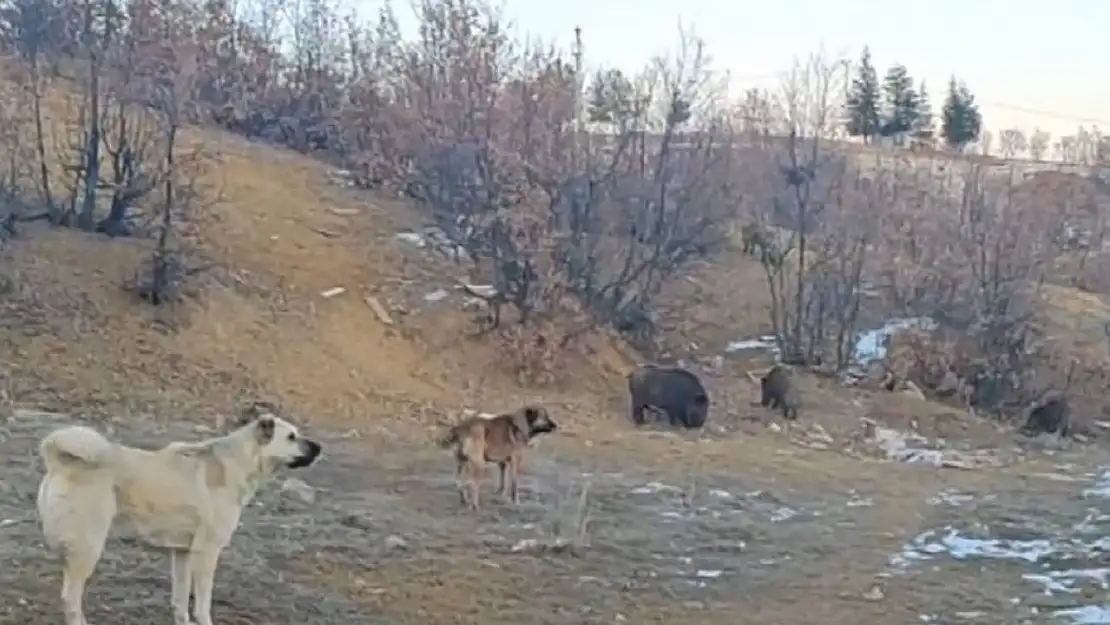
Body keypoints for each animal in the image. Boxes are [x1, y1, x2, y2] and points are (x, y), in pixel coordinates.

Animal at [35, 406, 321, 625]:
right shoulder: (206, 553)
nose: (319, 447)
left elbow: (181, 600)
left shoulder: (182, 553)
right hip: (88, 548)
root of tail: (61, 459)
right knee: (70, 597)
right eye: (292, 437)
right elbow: (203, 603)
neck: (238, 462)